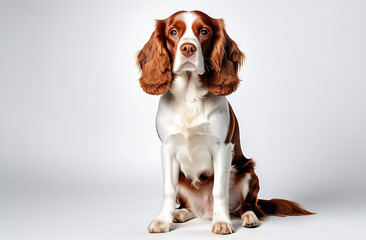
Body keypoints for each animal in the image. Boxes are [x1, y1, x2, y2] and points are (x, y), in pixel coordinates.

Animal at [136, 10, 314, 234]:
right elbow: (168, 190)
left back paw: (248, 217)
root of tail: (206, 210)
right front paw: (162, 221)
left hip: (248, 172)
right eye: (173, 32)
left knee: (248, 205)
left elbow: (219, 190)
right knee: (190, 207)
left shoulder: (222, 148)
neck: (189, 97)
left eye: (204, 31)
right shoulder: (167, 148)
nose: (188, 48)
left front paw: (222, 222)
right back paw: (180, 213)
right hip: (184, 181)